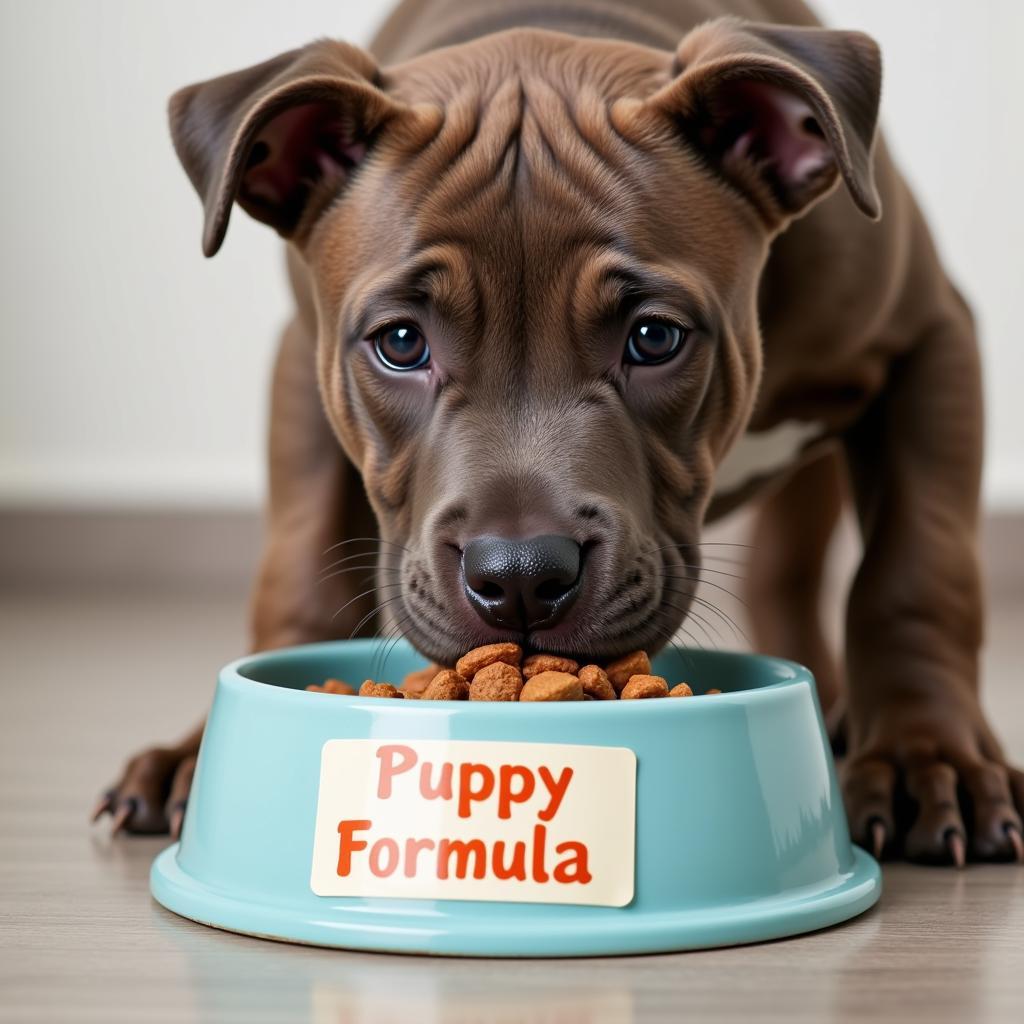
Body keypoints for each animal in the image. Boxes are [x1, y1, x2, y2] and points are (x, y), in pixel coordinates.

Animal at [96, 0, 1024, 864]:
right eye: (401, 343)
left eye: (654, 337)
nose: (519, 579)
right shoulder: (303, 363)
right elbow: (297, 565)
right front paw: (202, 751)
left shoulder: (932, 341)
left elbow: (916, 572)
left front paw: (925, 758)